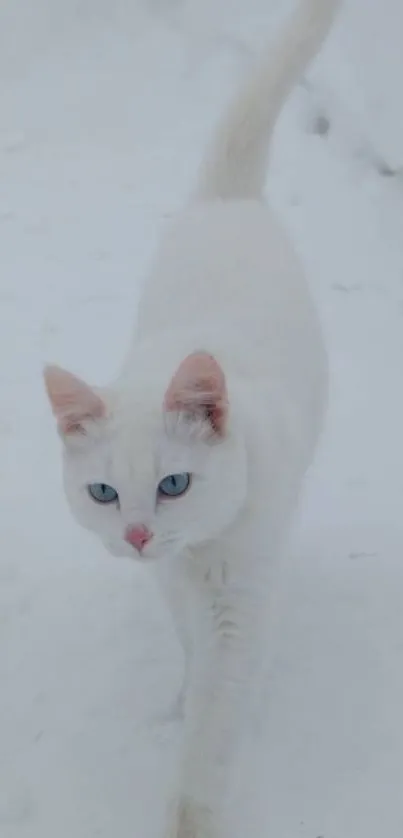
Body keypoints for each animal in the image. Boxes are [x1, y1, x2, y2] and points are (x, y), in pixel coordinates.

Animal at [45, 3, 340, 836]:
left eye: (174, 483)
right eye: (104, 493)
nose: (140, 535)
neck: (201, 553)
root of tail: (226, 202)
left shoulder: (243, 596)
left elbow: (218, 707)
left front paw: (194, 807)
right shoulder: (171, 584)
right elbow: (189, 654)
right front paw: (180, 697)